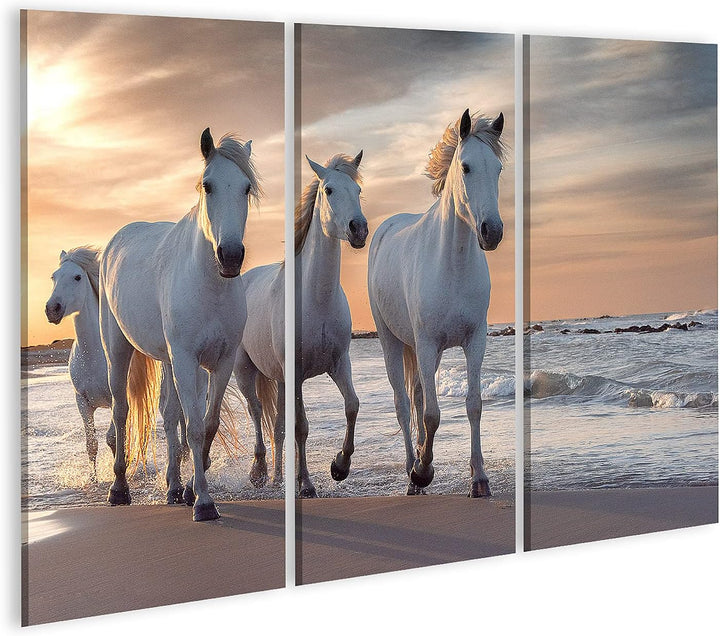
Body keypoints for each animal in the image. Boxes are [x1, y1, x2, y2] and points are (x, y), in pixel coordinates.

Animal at [45, 247, 189, 482]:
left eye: (77, 277)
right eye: (53, 277)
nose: (52, 309)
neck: (92, 356)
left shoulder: (115, 398)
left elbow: (112, 438)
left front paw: (120, 473)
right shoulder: (82, 402)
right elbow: (92, 444)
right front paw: (93, 479)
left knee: (180, 419)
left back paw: (183, 457)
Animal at [99, 128, 258, 521]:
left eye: (246, 187)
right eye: (208, 185)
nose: (230, 256)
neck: (209, 285)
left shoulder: (220, 361)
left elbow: (205, 425)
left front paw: (190, 489)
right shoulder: (186, 359)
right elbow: (195, 428)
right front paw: (203, 503)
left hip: (168, 361)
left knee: (170, 416)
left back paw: (173, 487)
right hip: (119, 350)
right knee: (121, 411)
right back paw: (119, 488)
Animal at [367, 109, 505, 497]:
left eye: (498, 168)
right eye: (466, 167)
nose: (492, 232)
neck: (452, 265)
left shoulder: (474, 341)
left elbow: (473, 405)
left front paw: (479, 479)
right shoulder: (427, 344)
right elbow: (431, 414)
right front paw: (423, 471)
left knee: (415, 396)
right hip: (392, 341)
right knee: (403, 404)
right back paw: (411, 472)